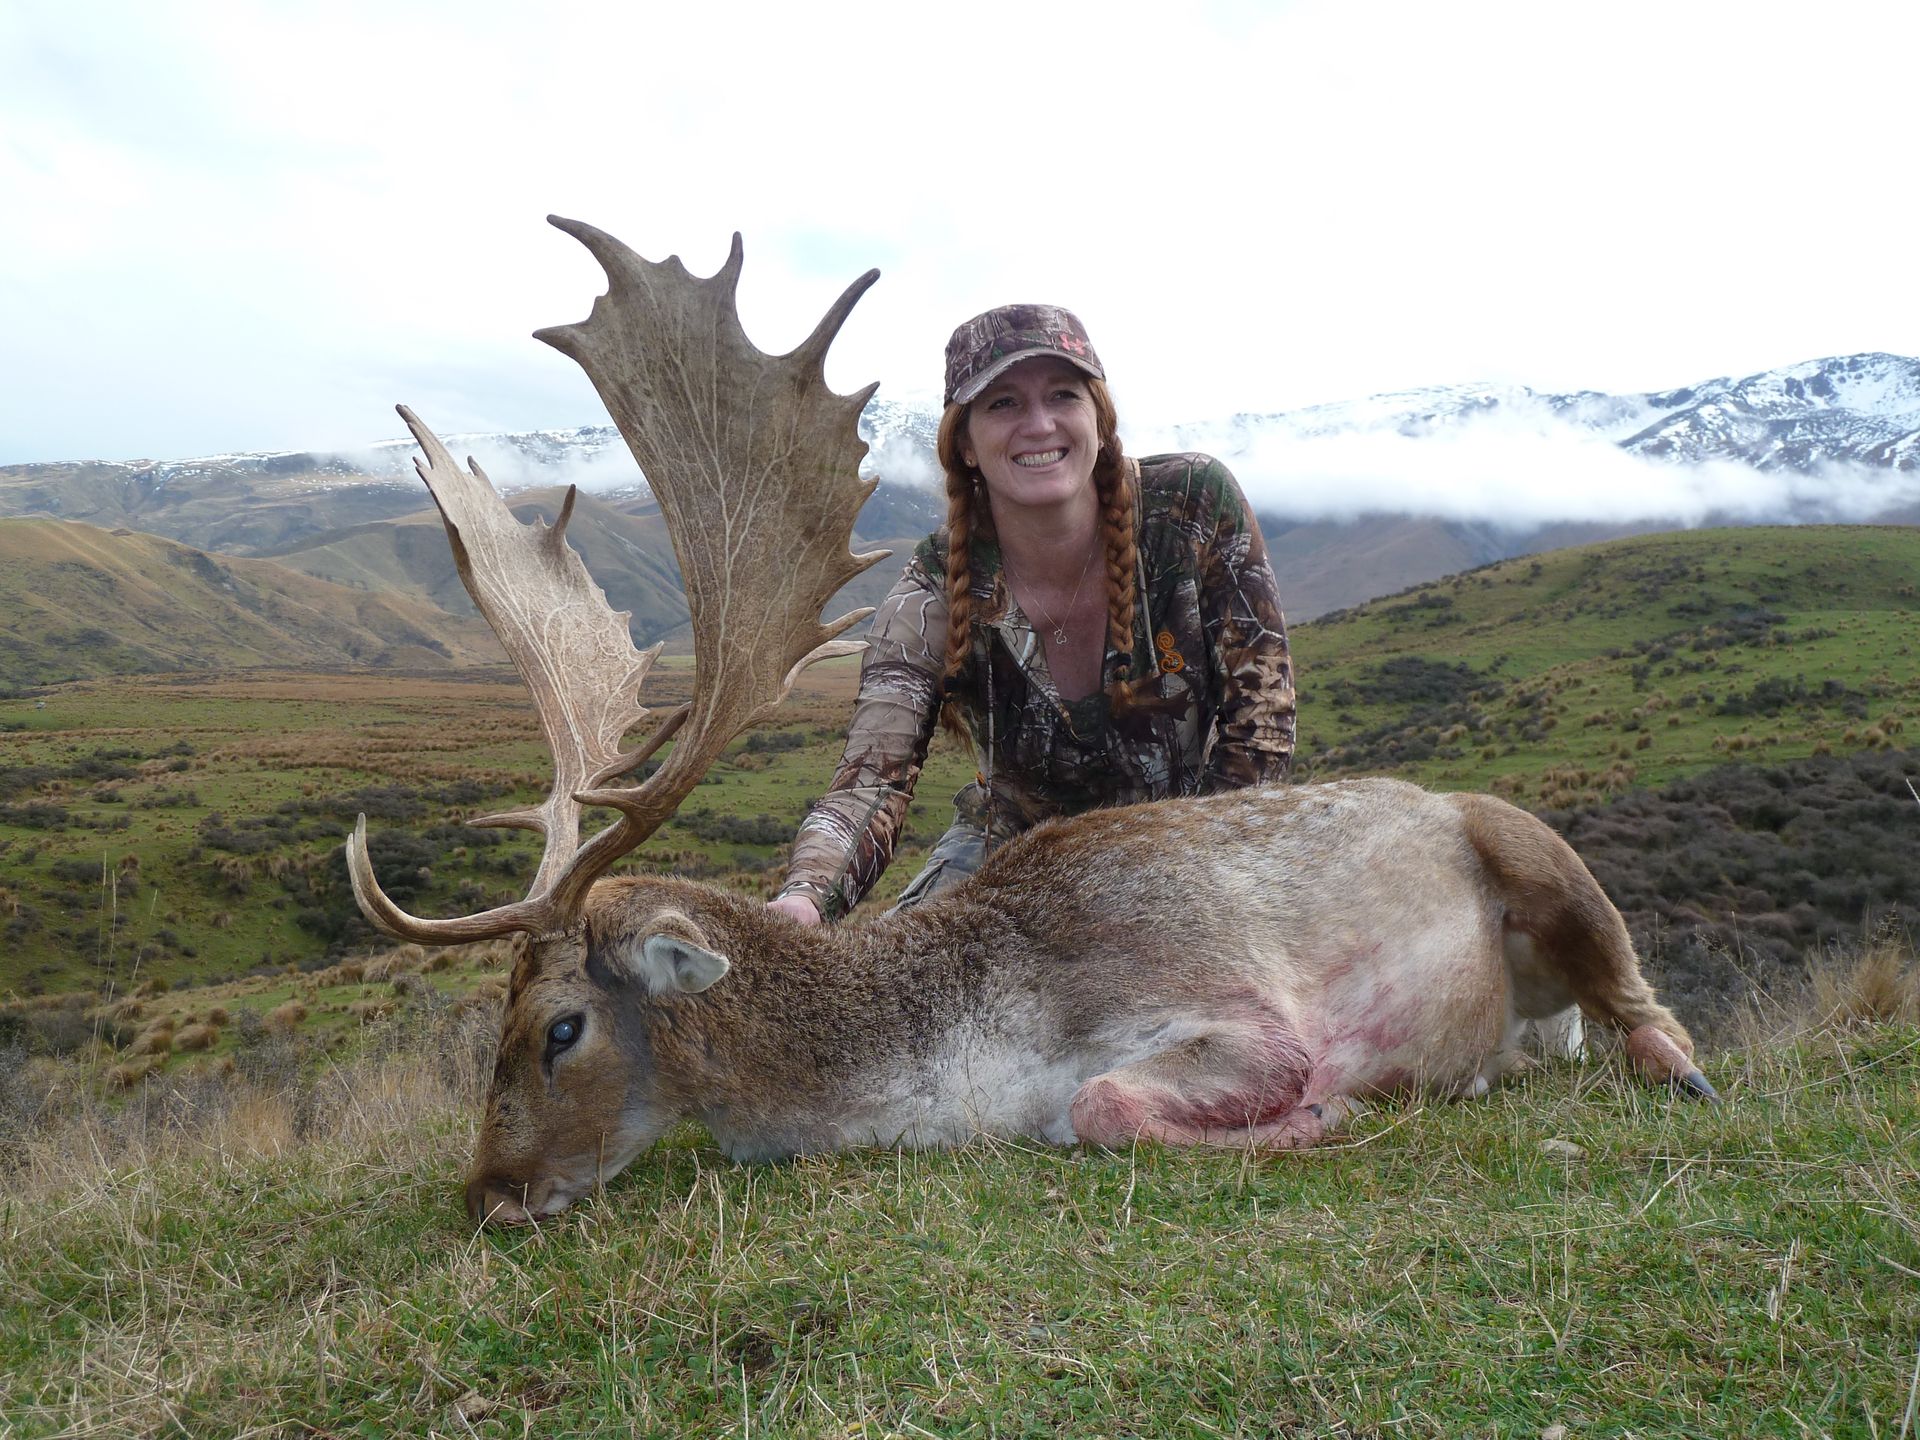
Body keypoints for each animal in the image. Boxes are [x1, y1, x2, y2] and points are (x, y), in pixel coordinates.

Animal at [347, 217, 1715, 1228]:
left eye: (559, 1026)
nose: (488, 1193)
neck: (970, 1050)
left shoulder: (1237, 1014)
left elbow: (1112, 1108)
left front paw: (1324, 1116)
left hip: (1534, 846)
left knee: (1645, 1003)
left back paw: (1671, 1066)